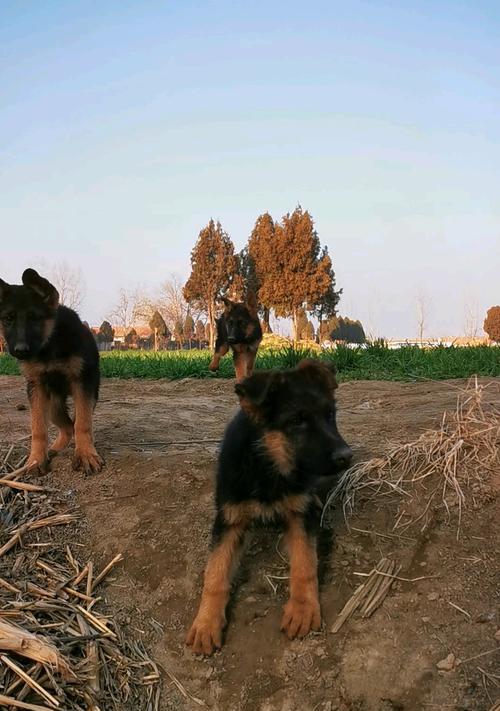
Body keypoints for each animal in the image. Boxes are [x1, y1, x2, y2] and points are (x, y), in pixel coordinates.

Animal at [0, 270, 103, 476]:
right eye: (7, 319)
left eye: (34, 318)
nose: (20, 350)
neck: (49, 347)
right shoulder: (37, 387)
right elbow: (38, 428)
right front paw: (36, 460)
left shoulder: (82, 383)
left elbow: (83, 423)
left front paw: (85, 454)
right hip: (53, 405)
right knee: (67, 427)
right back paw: (56, 449)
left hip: (90, 393)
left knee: (78, 421)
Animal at [186, 362, 354, 656]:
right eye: (297, 421)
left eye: (330, 415)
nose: (347, 456)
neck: (267, 468)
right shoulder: (228, 520)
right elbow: (215, 573)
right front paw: (206, 623)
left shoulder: (299, 514)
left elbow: (304, 563)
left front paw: (302, 609)